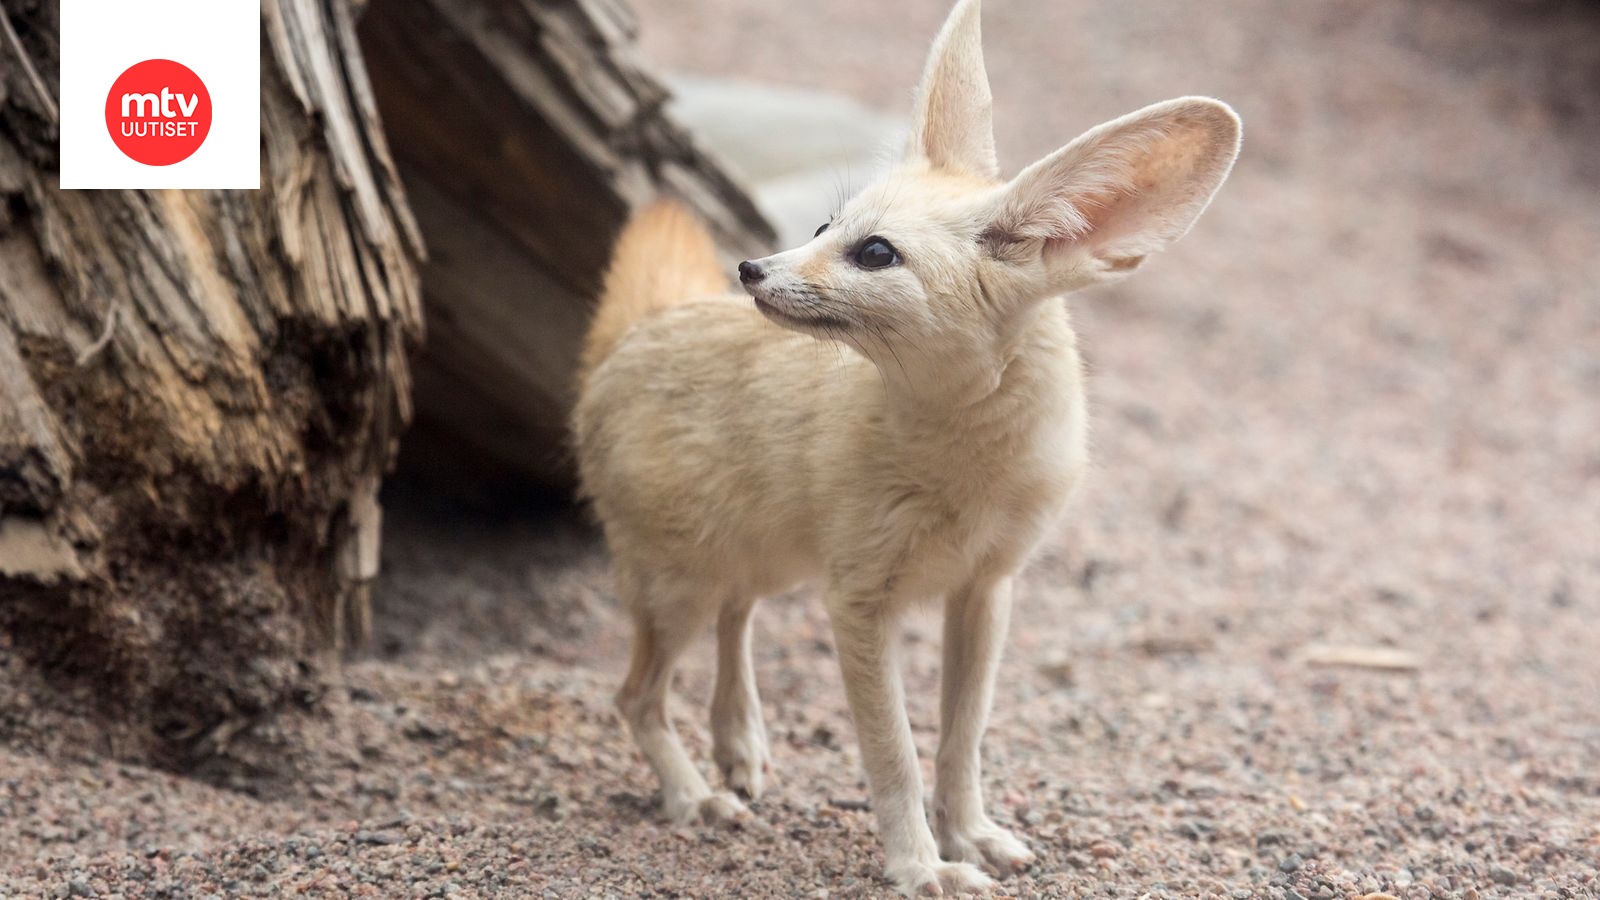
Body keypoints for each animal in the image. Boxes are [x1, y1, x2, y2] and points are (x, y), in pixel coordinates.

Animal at [572, 0, 1235, 890]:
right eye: (823, 226)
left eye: (875, 252)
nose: (749, 267)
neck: (968, 465)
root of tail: (636, 332)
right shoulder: (858, 602)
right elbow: (894, 756)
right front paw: (922, 868)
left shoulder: (986, 591)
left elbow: (962, 741)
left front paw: (971, 836)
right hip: (682, 588)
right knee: (636, 696)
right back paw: (694, 795)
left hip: (763, 565)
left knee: (735, 614)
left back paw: (738, 739)